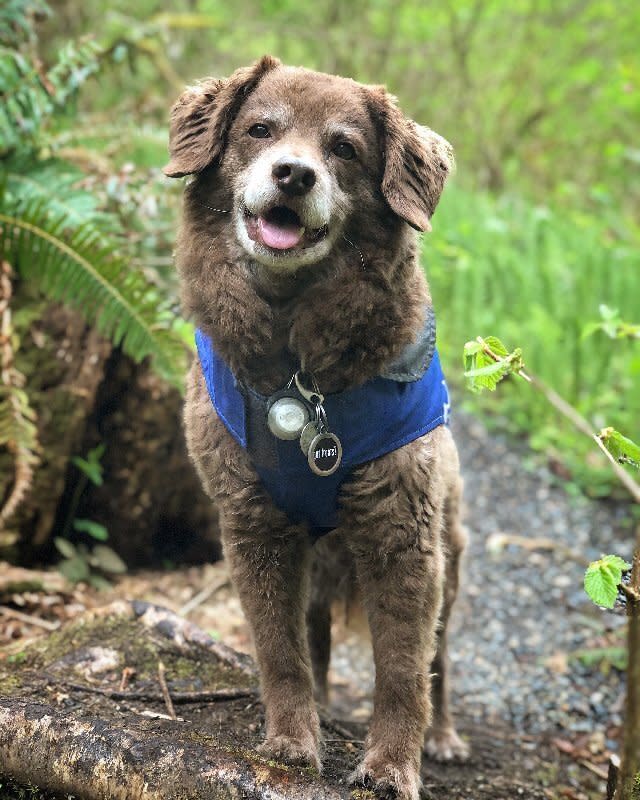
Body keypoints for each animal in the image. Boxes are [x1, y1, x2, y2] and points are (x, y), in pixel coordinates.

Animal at [165, 53, 464, 796]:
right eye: (259, 129)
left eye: (345, 149)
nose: (294, 174)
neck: (297, 368)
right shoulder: (254, 523)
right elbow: (282, 652)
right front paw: (293, 742)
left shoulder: (402, 534)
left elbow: (404, 672)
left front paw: (392, 765)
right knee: (319, 637)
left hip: (452, 553)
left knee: (442, 660)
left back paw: (444, 736)